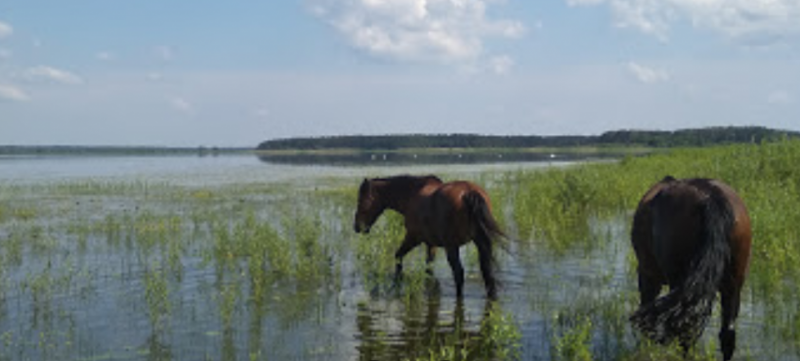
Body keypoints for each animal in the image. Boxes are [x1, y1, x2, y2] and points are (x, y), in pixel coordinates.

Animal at [354, 174, 504, 298]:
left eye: (362, 200)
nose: (357, 226)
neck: (411, 195)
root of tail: (469, 192)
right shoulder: (431, 244)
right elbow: (429, 268)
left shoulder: (413, 238)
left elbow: (398, 256)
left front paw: (397, 281)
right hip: (480, 242)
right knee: (487, 273)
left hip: (451, 246)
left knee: (459, 273)